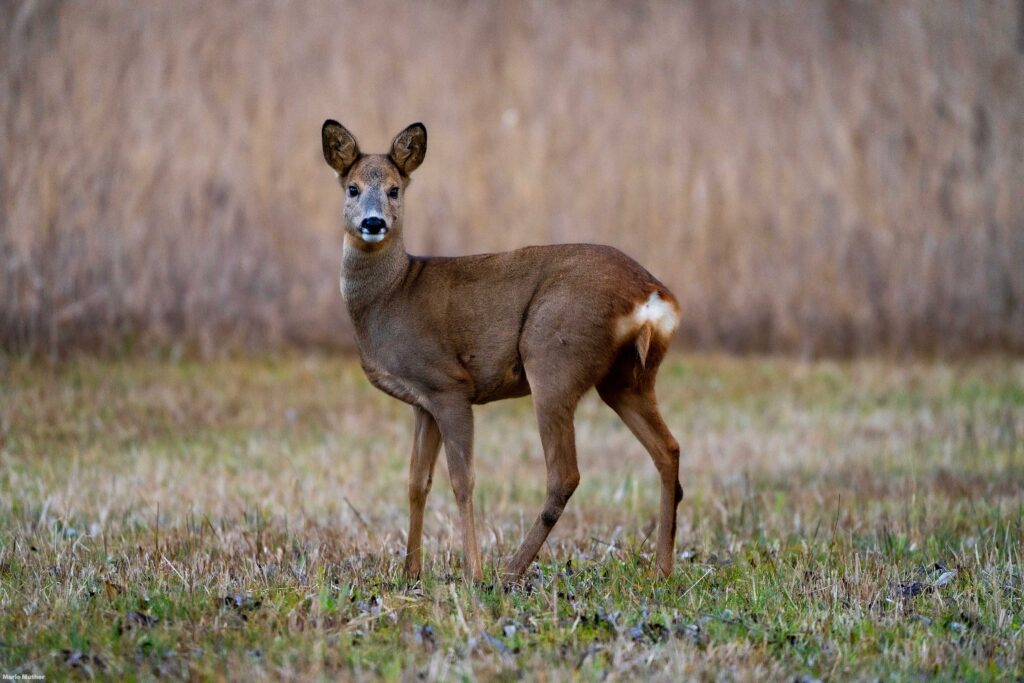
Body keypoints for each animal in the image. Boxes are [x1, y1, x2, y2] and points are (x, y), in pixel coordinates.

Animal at [323, 121, 684, 581]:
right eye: (351, 188)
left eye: (394, 189)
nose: (373, 222)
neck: (392, 296)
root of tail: (653, 296)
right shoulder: (422, 401)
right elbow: (416, 482)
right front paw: (410, 572)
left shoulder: (448, 384)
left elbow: (462, 481)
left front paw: (472, 572)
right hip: (627, 379)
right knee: (667, 450)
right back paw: (661, 570)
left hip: (553, 358)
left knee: (565, 474)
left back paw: (509, 572)